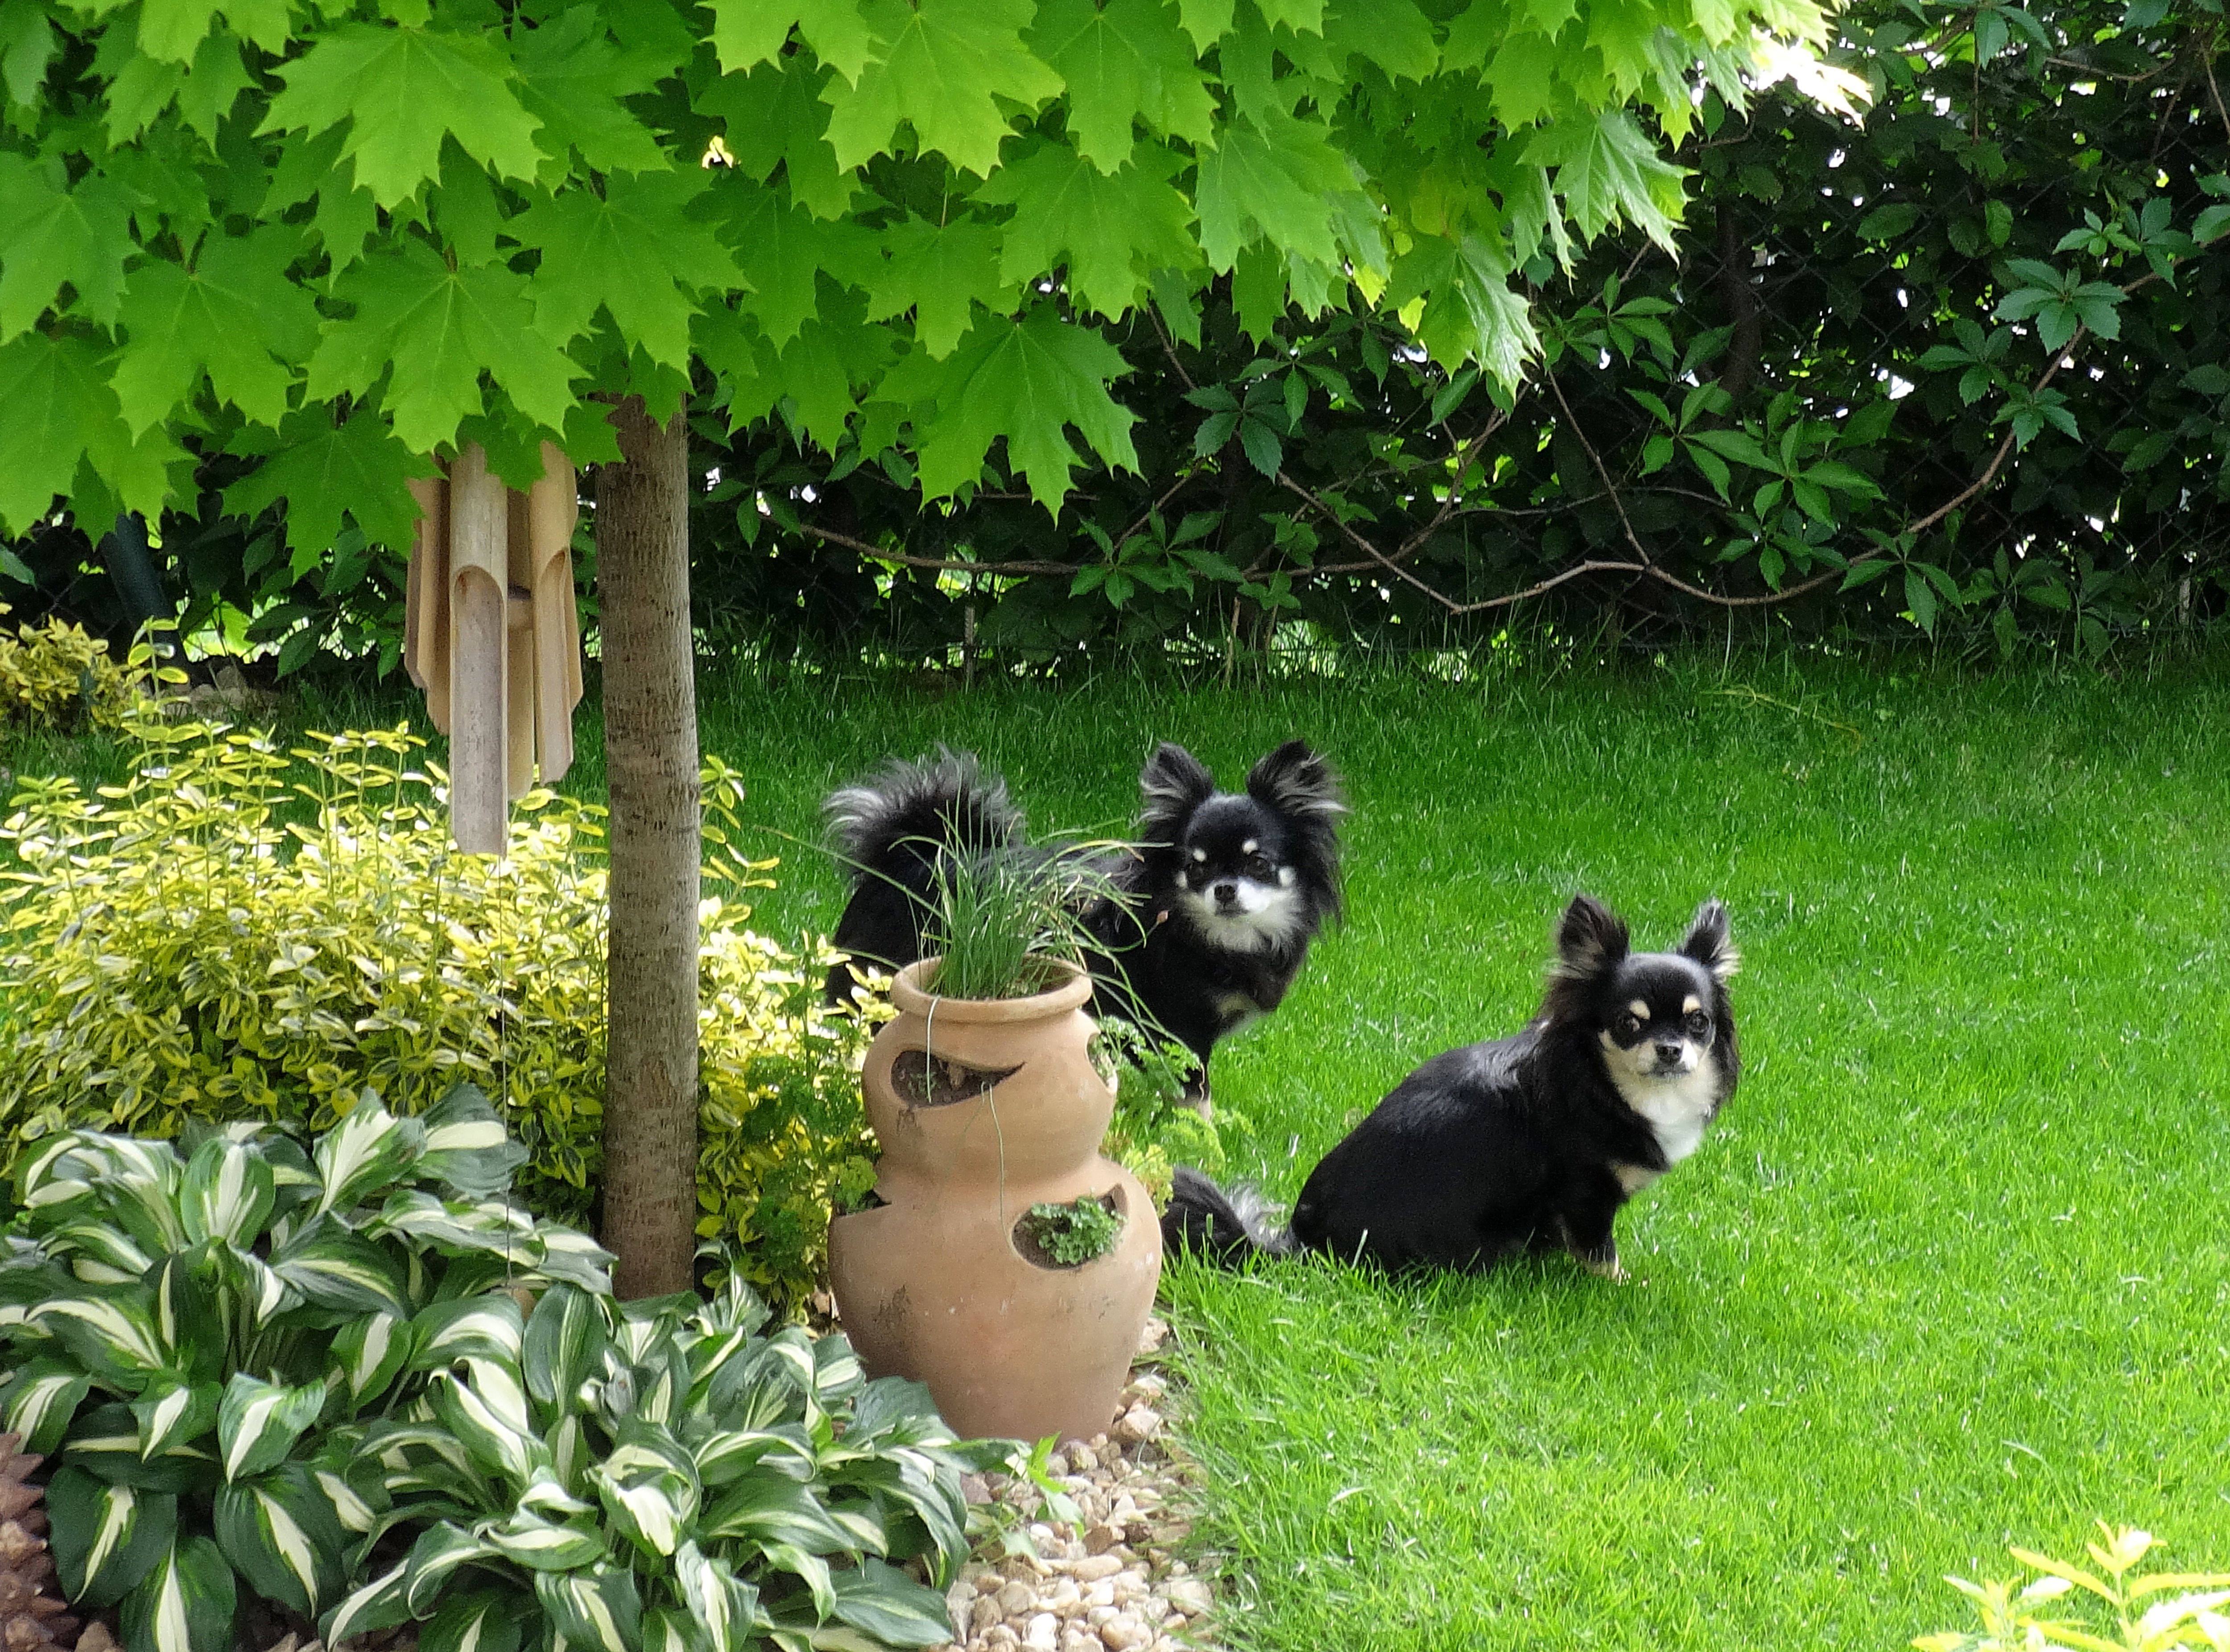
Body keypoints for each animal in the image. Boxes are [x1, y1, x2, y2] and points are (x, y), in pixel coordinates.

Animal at [821, 740, 1338, 1088]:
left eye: (1258, 863)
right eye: (1196, 867)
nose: (1224, 890)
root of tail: (907, 855)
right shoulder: (1176, 1031)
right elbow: (1195, 1099)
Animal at [1160, 896, 1748, 1284]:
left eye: (1698, 1024)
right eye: (1629, 1024)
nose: (1670, 1049)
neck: (1602, 1083)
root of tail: (1307, 1242)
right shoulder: (1584, 1194)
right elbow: (1597, 1251)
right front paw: (1617, 1285)